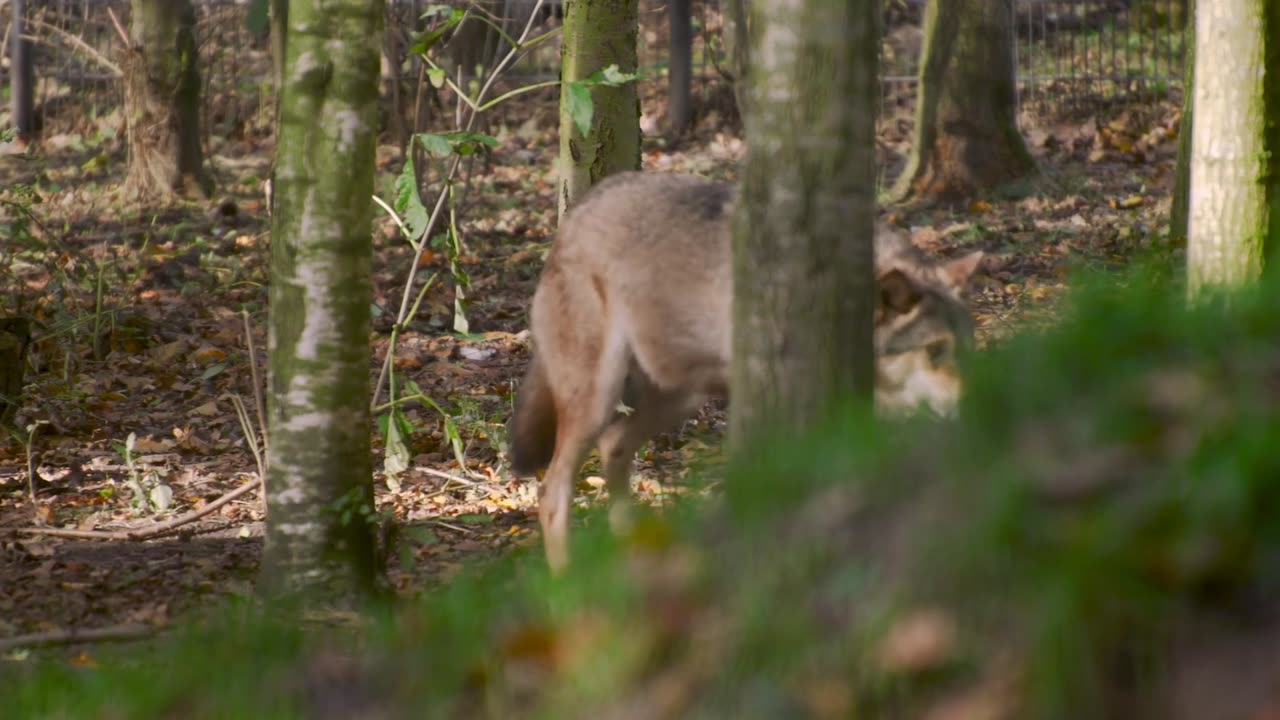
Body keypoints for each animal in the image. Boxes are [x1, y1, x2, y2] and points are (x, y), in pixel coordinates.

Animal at [504, 170, 983, 568]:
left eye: (967, 347)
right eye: (935, 350)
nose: (980, 403)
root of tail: (572, 220)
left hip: (678, 398)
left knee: (614, 448)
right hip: (598, 399)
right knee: (552, 492)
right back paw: (566, 586)